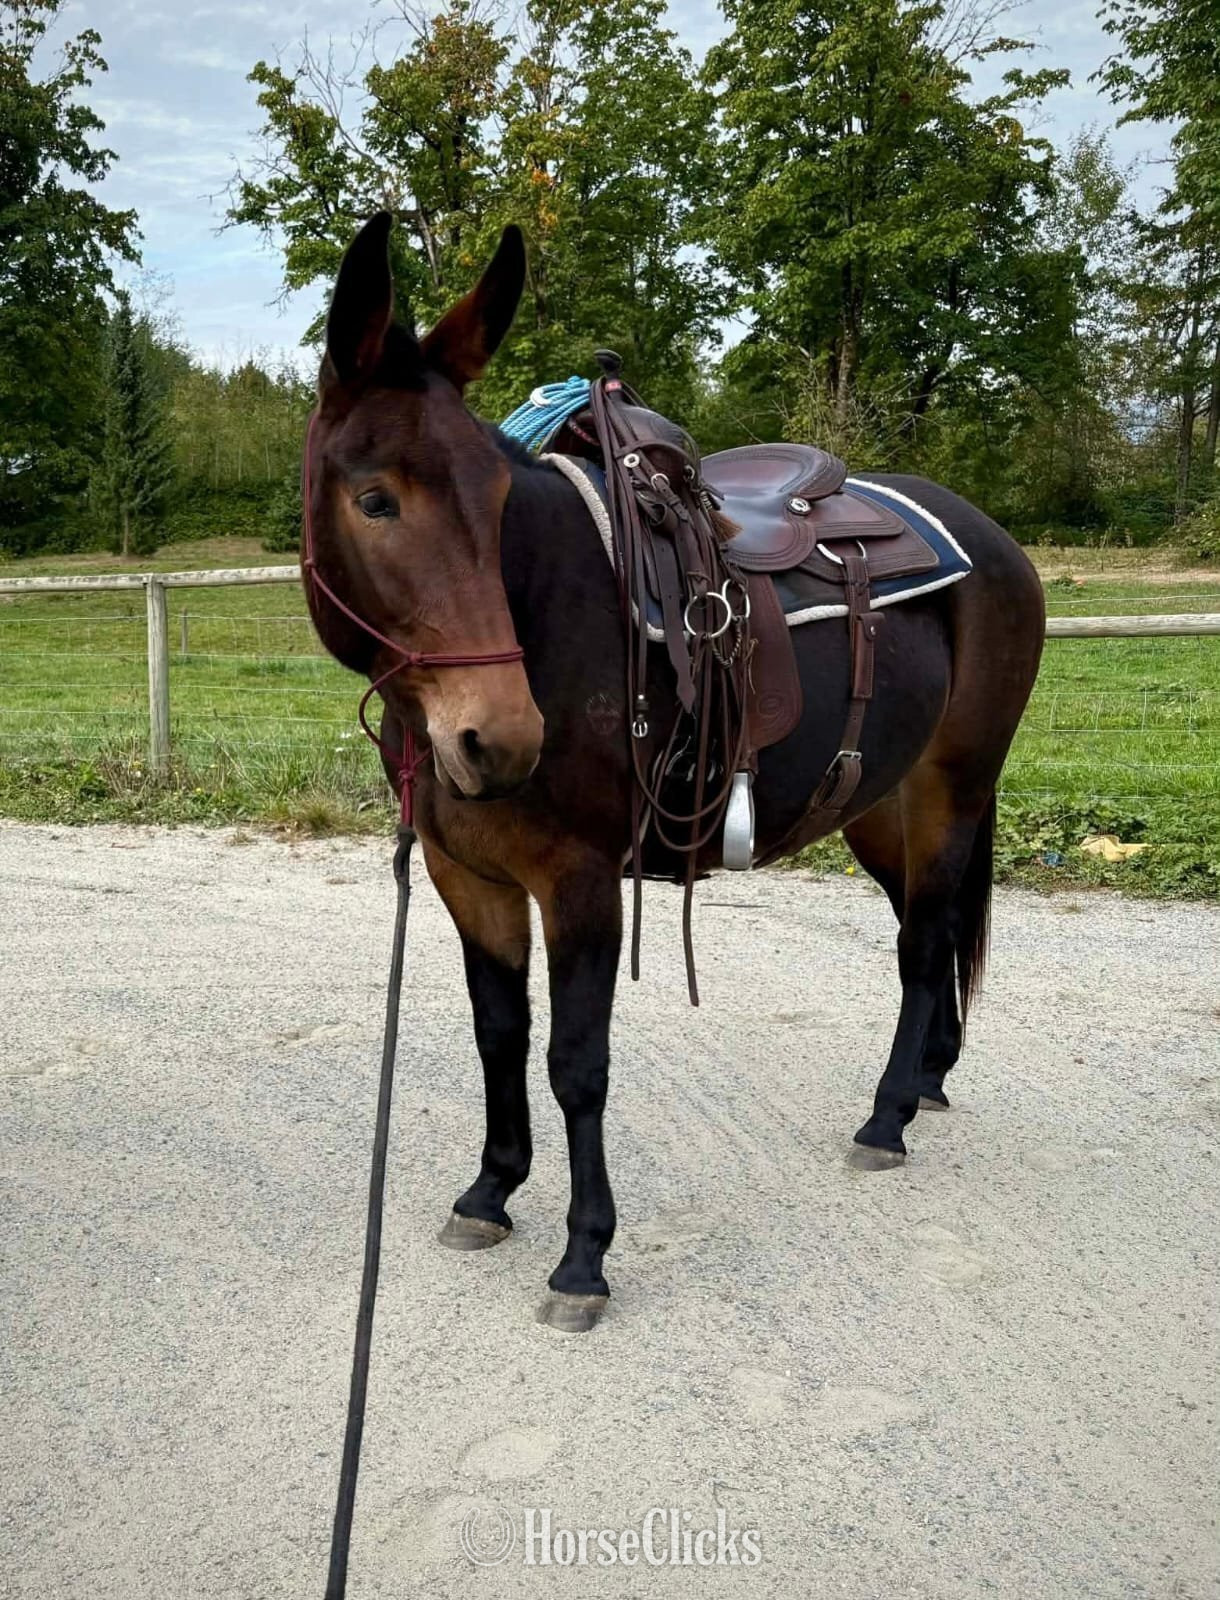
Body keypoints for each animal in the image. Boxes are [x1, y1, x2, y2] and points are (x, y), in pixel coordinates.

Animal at [302, 212, 1045, 1333]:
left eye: (497, 496)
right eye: (374, 499)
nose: (498, 739)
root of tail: (991, 538)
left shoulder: (578, 881)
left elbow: (577, 1063)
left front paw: (582, 1256)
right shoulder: (465, 875)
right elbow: (497, 1033)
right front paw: (491, 1189)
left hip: (952, 787)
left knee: (923, 944)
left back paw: (884, 1117)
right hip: (879, 803)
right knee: (936, 922)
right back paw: (925, 1080)